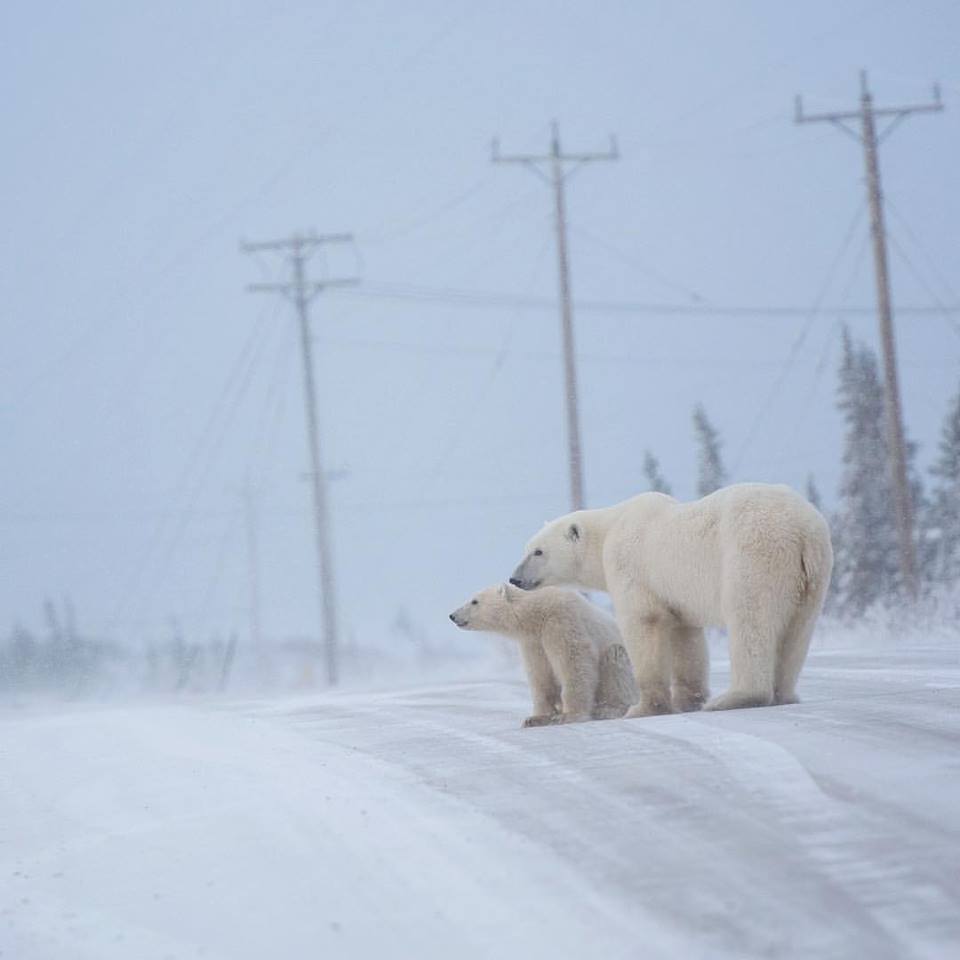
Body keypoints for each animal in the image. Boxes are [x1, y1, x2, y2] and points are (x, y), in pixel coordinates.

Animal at [449, 583, 638, 726]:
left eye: (474, 601)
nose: (452, 615)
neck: (538, 612)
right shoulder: (533, 641)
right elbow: (539, 675)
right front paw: (536, 718)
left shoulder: (562, 621)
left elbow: (574, 663)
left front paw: (569, 715)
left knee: (615, 661)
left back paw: (607, 708)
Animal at [508, 483, 833, 716]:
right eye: (527, 548)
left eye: (538, 551)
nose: (514, 579)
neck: (609, 529)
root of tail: (803, 531)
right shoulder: (676, 595)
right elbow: (685, 637)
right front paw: (688, 699)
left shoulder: (632, 566)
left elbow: (644, 623)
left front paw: (643, 708)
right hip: (812, 577)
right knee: (798, 629)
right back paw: (784, 694)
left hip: (754, 555)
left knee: (750, 618)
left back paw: (735, 697)